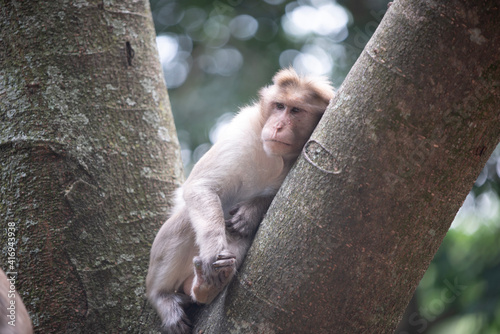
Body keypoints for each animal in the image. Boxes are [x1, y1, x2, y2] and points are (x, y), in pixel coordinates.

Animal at [146, 68, 334, 334]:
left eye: (295, 111)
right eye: (279, 106)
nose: (277, 126)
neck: (275, 156)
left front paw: (250, 213)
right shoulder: (242, 130)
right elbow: (200, 186)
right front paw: (213, 253)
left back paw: (206, 288)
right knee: (186, 220)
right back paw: (162, 296)